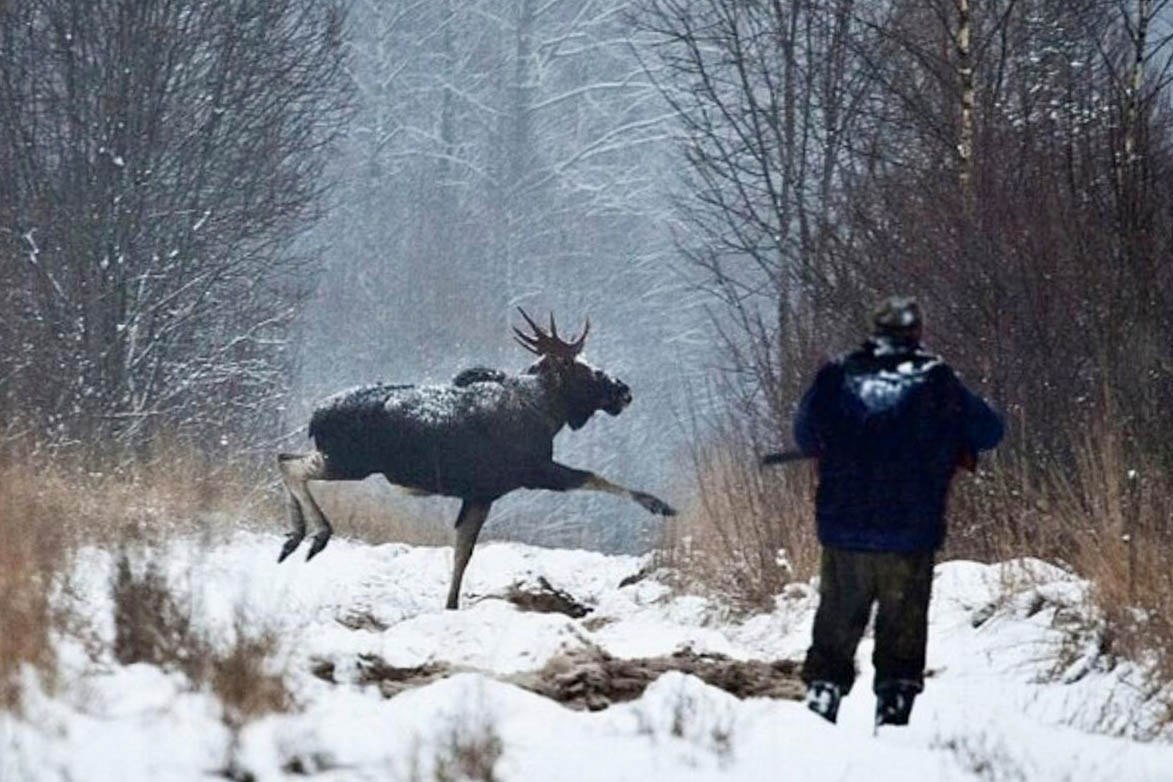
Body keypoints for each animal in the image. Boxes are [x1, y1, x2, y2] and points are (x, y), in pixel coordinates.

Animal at [276, 309, 680, 609]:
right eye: (578, 367)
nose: (623, 391)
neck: (545, 414)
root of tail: (316, 416)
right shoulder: (530, 473)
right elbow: (593, 476)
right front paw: (659, 504)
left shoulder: (480, 493)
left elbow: (462, 551)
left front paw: (451, 604)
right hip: (349, 461)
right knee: (292, 466)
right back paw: (317, 535)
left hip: (338, 457)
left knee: (284, 456)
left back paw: (293, 538)